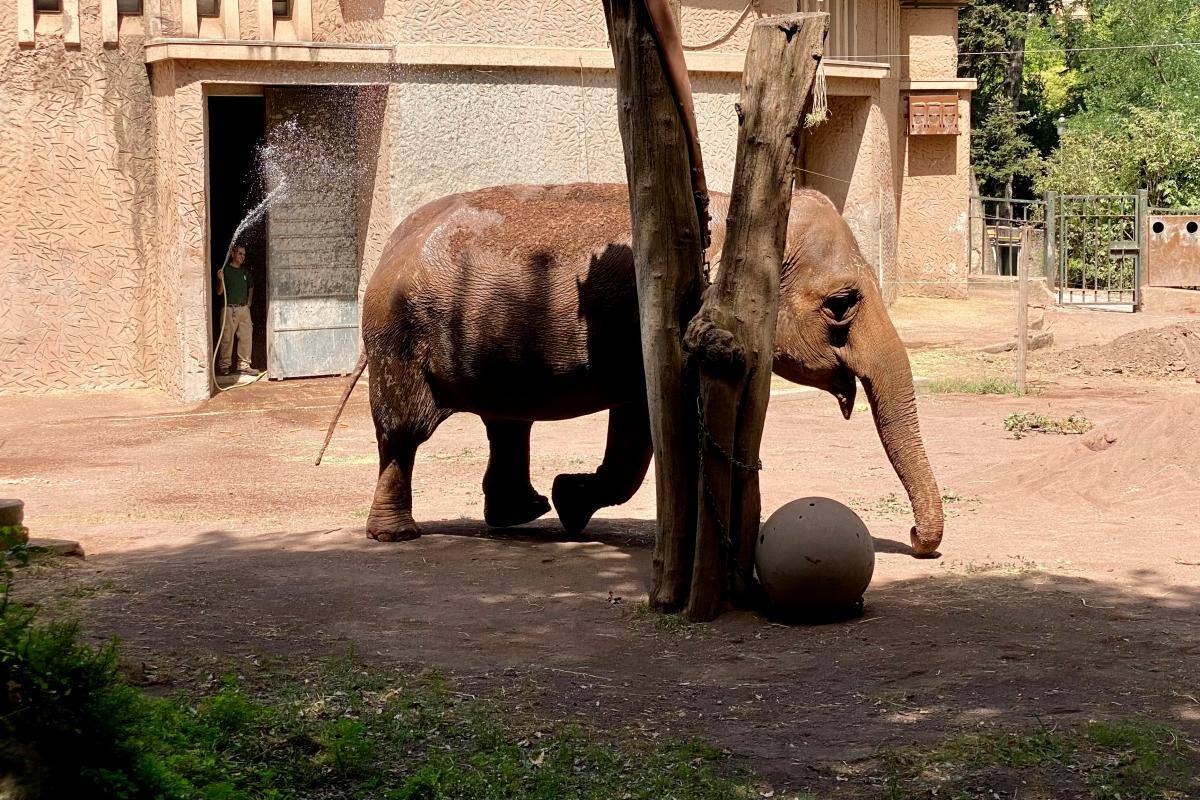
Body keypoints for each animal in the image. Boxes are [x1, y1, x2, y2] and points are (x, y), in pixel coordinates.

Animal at [328, 182, 943, 557]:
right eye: (842, 304)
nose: (917, 538)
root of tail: (389, 247)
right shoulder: (654, 328)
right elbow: (639, 431)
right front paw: (571, 504)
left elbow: (637, 426)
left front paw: (567, 503)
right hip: (399, 340)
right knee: (405, 432)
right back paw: (400, 536)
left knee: (506, 422)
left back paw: (522, 514)